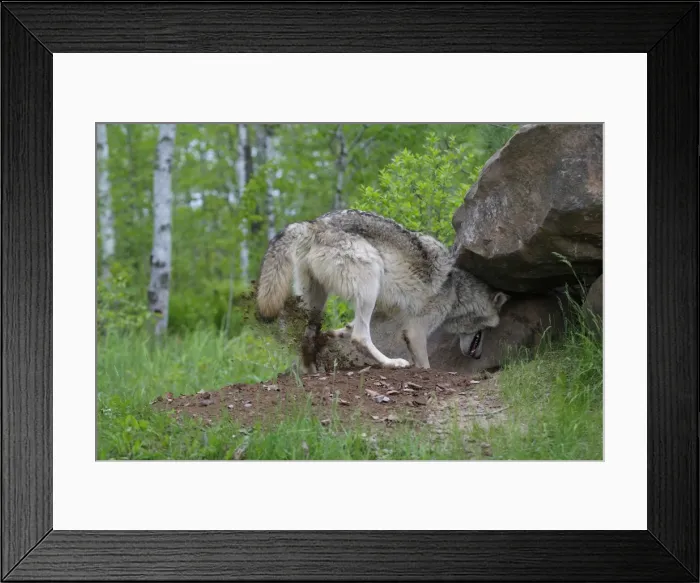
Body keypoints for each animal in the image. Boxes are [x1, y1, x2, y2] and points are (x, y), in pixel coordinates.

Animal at [255, 209, 509, 372]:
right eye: (488, 329)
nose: (478, 355)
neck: (456, 292)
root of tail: (314, 224)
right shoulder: (415, 331)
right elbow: (425, 364)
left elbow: (344, 329)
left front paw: (333, 335)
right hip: (370, 284)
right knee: (360, 337)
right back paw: (391, 363)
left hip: (318, 301)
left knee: (309, 335)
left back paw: (312, 370)